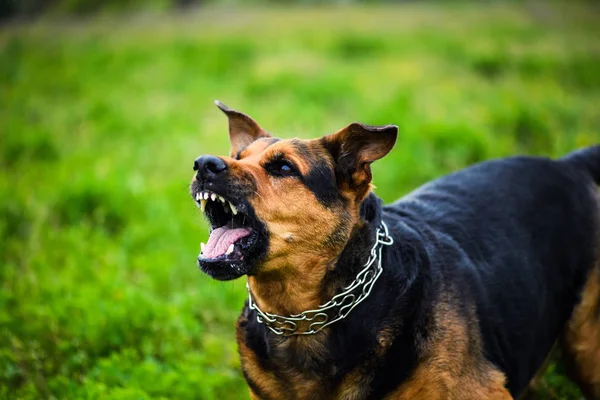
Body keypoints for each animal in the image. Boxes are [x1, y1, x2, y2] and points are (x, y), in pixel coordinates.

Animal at [189, 101, 600, 400]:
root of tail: (570, 167)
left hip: (587, 346)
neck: (300, 318)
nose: (203, 164)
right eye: (238, 156)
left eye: (284, 167)